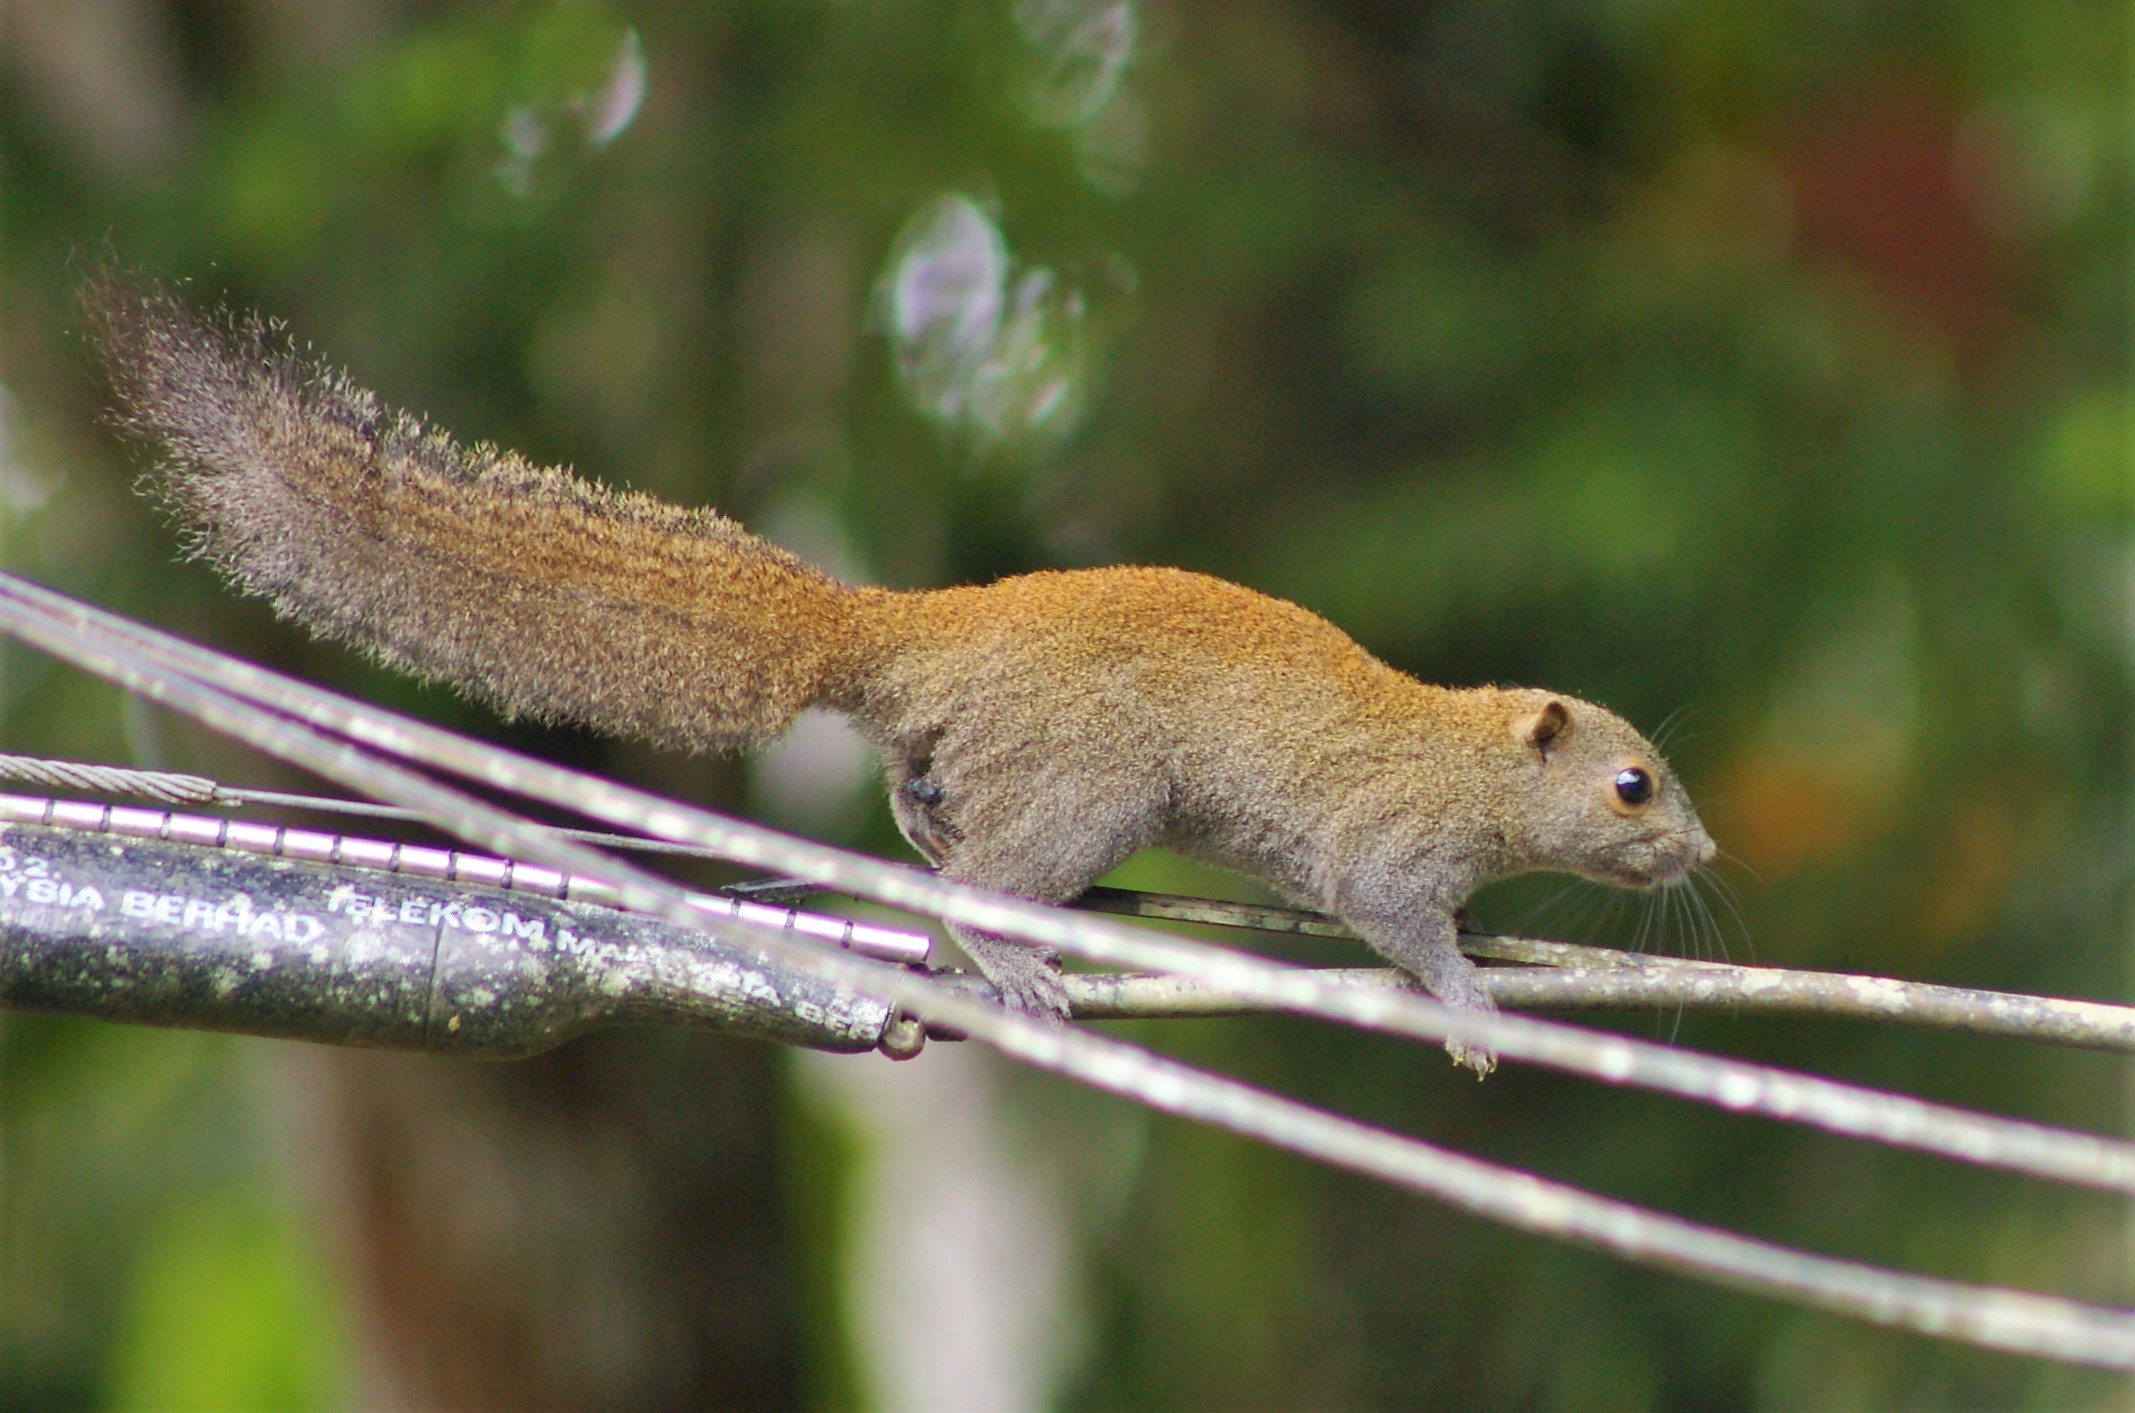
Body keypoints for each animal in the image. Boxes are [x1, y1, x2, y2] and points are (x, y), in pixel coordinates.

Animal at [86, 276, 1715, 1074]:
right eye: (1632, 784)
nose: (1702, 853)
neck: (1464, 758)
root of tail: (917, 631)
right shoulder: (1384, 841)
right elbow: (1394, 916)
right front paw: (1469, 1000)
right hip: (1088, 787)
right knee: (976, 884)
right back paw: (1005, 960)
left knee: (924, 812)